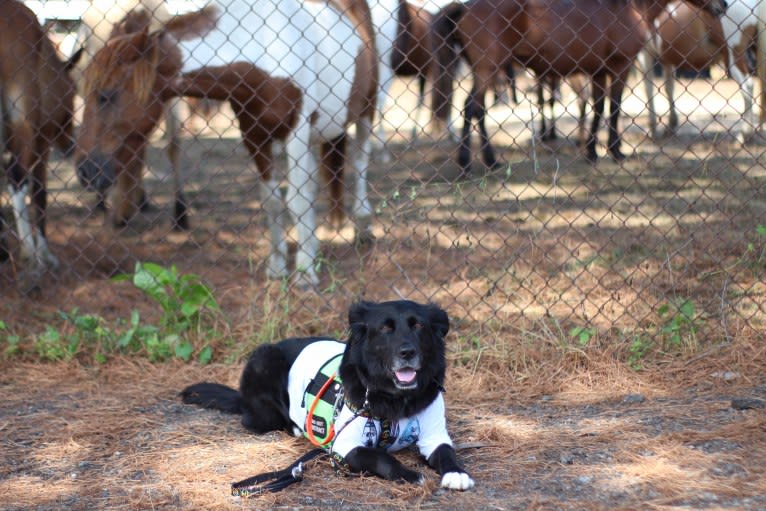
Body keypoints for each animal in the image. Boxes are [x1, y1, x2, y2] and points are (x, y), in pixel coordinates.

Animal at [0, 0, 84, 286]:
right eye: (73, 93)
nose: (70, 144)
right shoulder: (39, 143)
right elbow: (39, 192)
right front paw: (44, 255)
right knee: (17, 179)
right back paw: (29, 256)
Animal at [73, 0, 380, 288]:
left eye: (107, 94)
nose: (85, 171)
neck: (263, 47)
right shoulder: (255, 136)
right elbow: (272, 200)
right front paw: (278, 268)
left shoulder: (296, 131)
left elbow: (297, 200)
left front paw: (304, 274)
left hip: (366, 109)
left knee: (361, 162)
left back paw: (363, 228)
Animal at [183, 300, 476, 492]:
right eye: (385, 328)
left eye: (418, 326)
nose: (407, 352)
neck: (395, 399)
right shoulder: (344, 446)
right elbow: (381, 457)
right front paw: (409, 474)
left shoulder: (434, 436)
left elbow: (447, 453)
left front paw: (457, 473)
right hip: (263, 359)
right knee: (255, 419)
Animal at [436, 0, 728, 174]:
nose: (723, 5)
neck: (627, 8)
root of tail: (465, 8)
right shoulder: (620, 67)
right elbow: (614, 108)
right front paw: (616, 151)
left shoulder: (598, 72)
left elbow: (598, 108)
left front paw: (591, 152)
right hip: (488, 69)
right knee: (471, 107)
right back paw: (470, 163)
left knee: (476, 110)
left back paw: (488, 161)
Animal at [640, 0, 760, 142]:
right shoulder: (666, 60)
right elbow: (669, 88)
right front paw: (670, 125)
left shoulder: (644, 53)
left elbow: (648, 88)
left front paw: (652, 130)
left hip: (733, 56)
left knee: (747, 86)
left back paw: (744, 133)